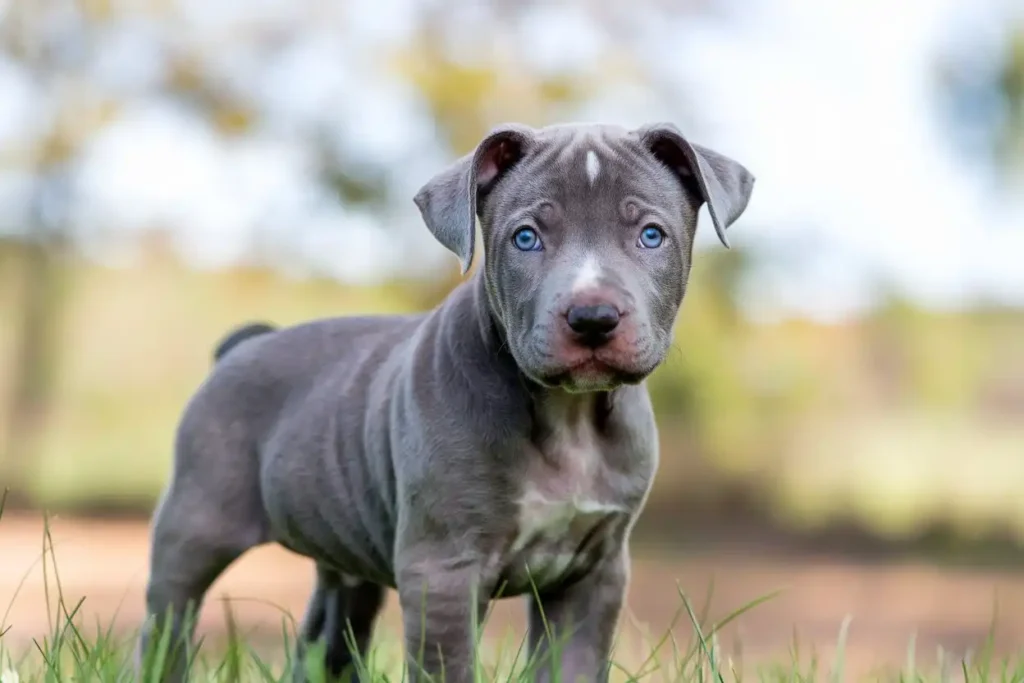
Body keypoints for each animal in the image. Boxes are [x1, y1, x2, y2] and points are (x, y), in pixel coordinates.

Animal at [138, 120, 753, 679]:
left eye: (651, 235)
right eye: (525, 238)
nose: (593, 317)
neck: (568, 415)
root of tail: (245, 344)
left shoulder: (593, 575)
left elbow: (574, 668)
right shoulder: (443, 572)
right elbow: (448, 668)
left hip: (345, 558)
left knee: (324, 641)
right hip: (194, 525)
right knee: (167, 624)